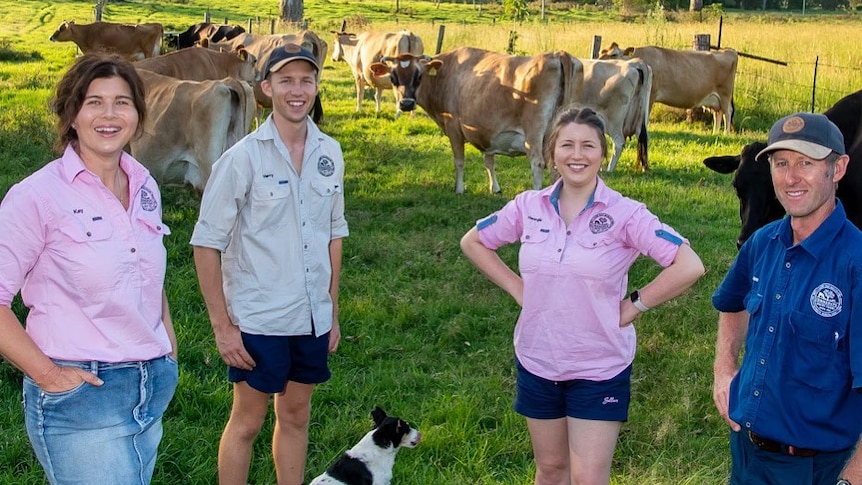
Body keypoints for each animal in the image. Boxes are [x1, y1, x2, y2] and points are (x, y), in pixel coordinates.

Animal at [368, 47, 584, 193]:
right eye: (393, 77)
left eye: (418, 76)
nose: (405, 103)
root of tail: (557, 54)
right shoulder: (485, 131)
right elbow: (489, 161)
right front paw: (495, 188)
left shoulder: (453, 127)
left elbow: (459, 160)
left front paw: (459, 189)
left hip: (533, 133)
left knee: (538, 164)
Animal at [600, 42, 736, 133]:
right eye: (601, 52)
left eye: (614, 54)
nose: (598, 60)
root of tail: (728, 51)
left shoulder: (651, 94)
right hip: (715, 99)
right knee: (718, 113)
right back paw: (715, 134)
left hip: (725, 94)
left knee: (727, 112)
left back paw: (726, 134)